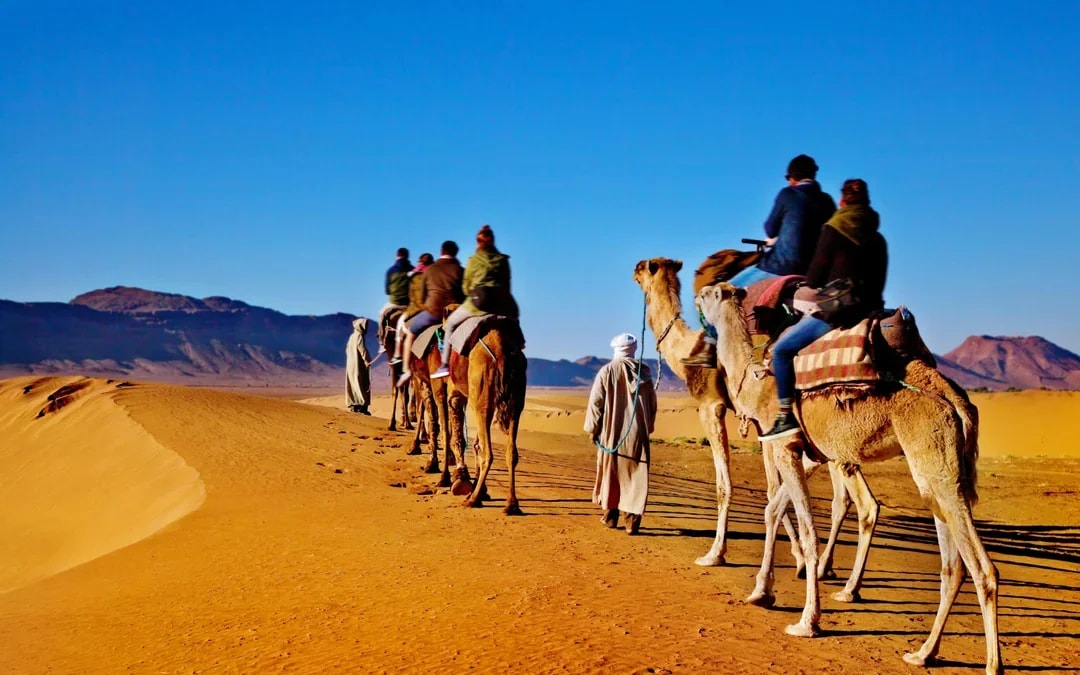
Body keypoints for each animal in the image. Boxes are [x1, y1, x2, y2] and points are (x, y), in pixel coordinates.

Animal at [446, 318, 527, 515]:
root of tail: (501, 350)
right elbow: (475, 443)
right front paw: (479, 489)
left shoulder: (455, 393)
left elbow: (458, 439)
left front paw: (463, 482)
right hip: (515, 402)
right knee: (511, 452)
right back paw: (511, 504)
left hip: (482, 399)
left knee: (488, 453)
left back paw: (473, 499)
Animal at [632, 259, 875, 583]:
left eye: (644, 267)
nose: (633, 272)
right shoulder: (762, 426)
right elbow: (774, 489)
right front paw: (798, 559)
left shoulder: (711, 407)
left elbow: (727, 484)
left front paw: (715, 554)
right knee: (845, 499)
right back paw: (829, 568)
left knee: (857, 500)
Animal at [699, 280, 1001, 674]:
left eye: (708, 294)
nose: (697, 294)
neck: (753, 378)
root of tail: (955, 399)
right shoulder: (809, 452)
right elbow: (772, 510)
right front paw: (761, 592)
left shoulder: (783, 444)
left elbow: (806, 531)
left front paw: (806, 622)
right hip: (936, 473)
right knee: (953, 567)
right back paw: (922, 653)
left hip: (936, 461)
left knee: (982, 569)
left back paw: (991, 664)